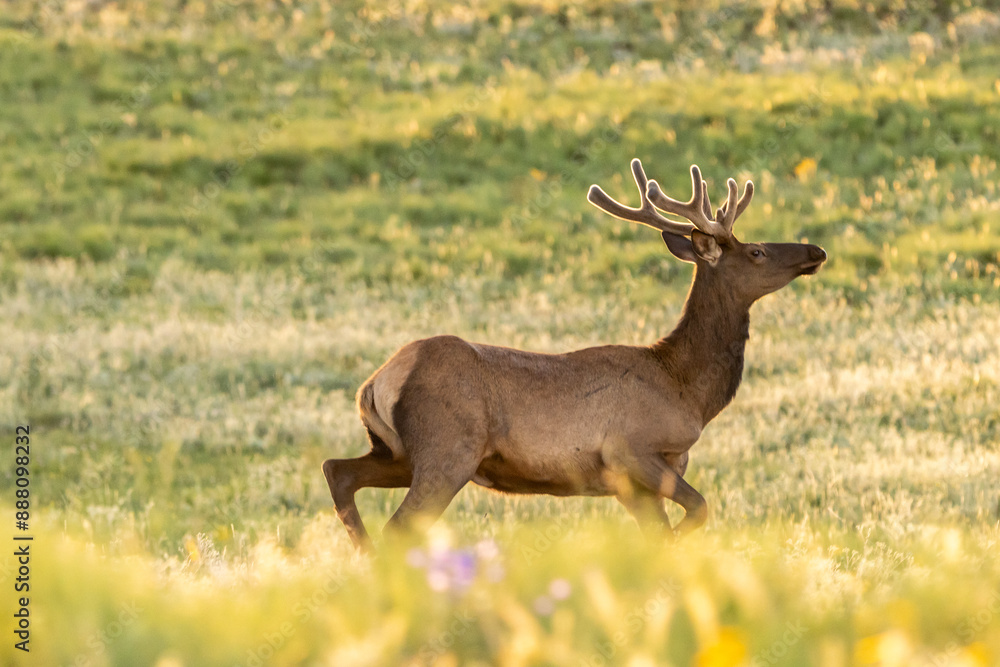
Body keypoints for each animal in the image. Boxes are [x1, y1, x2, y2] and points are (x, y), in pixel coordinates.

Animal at [322, 159, 827, 551]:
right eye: (757, 251)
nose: (815, 250)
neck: (686, 389)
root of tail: (375, 383)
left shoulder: (640, 482)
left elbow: (662, 535)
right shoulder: (629, 447)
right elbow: (699, 509)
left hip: (399, 452)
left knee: (337, 471)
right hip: (447, 447)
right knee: (397, 526)